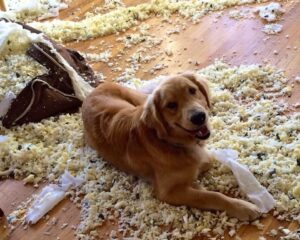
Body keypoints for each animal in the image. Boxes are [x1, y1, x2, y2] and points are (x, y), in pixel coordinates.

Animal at [82, 73, 260, 221]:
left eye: (192, 90)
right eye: (171, 105)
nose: (199, 117)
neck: (171, 142)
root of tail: (91, 92)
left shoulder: (202, 158)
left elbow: (204, 165)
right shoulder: (167, 192)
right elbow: (211, 195)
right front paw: (242, 207)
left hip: (138, 101)